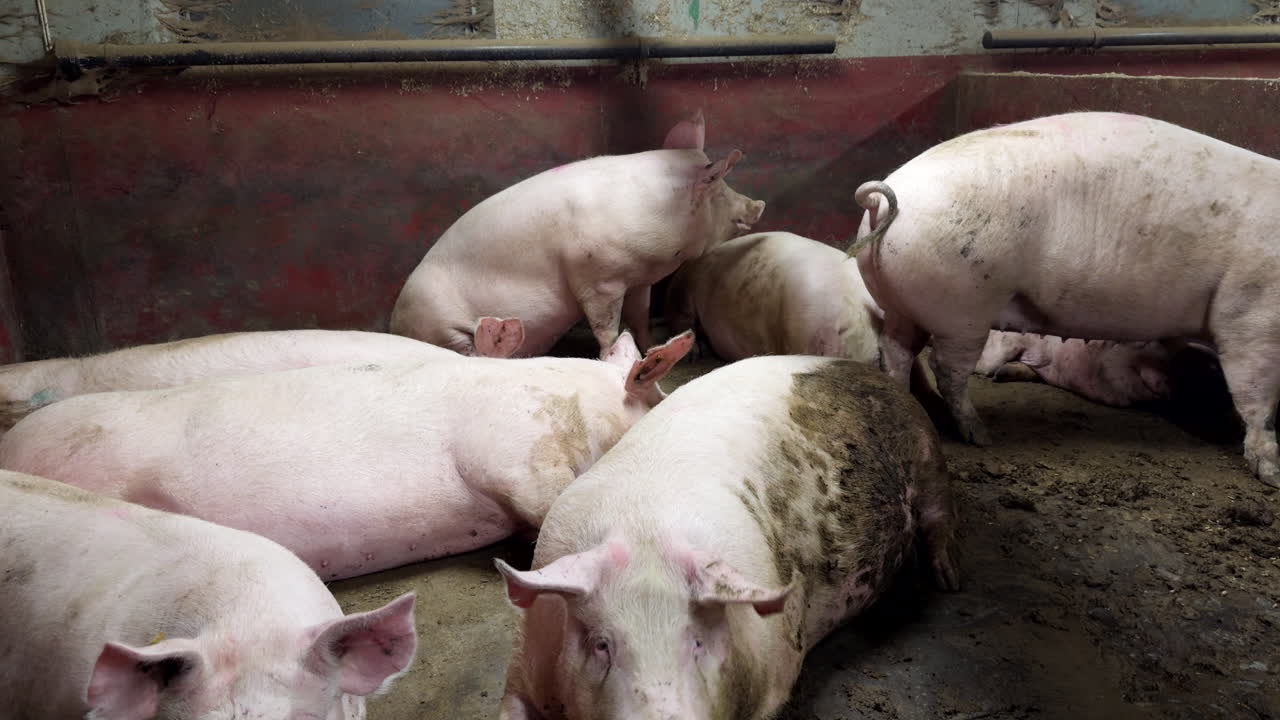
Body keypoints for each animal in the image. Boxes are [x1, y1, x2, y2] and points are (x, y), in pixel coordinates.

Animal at [390, 111, 766, 357]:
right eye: (718, 190)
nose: (758, 205)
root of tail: (395, 324)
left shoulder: (638, 279)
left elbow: (640, 317)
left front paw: (651, 348)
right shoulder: (599, 280)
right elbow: (606, 328)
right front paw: (612, 355)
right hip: (437, 318)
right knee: (467, 351)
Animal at [496, 356, 959, 720]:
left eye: (698, 642)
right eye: (602, 644)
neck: (643, 533)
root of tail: (861, 366)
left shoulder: (777, 668)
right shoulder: (523, 664)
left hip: (928, 456)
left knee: (938, 519)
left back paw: (947, 582)